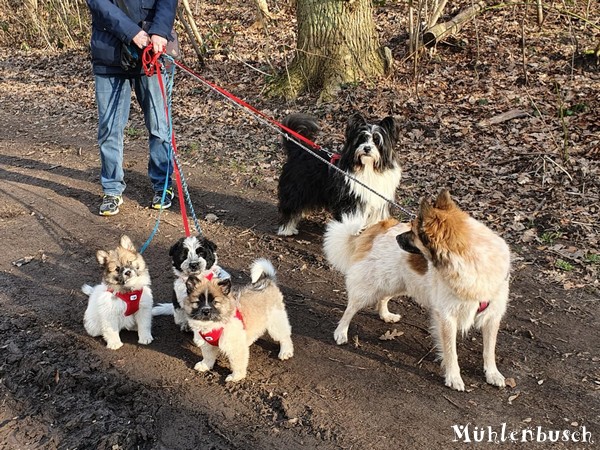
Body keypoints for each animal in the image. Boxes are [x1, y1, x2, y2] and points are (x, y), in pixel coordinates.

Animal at [324, 190, 510, 390]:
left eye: (413, 232)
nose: (397, 238)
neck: (471, 260)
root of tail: (380, 226)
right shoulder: (447, 317)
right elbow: (451, 352)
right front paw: (453, 377)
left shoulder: (492, 315)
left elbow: (489, 350)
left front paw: (492, 373)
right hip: (371, 285)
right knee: (350, 309)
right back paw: (341, 332)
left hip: (398, 283)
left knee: (383, 298)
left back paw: (385, 315)